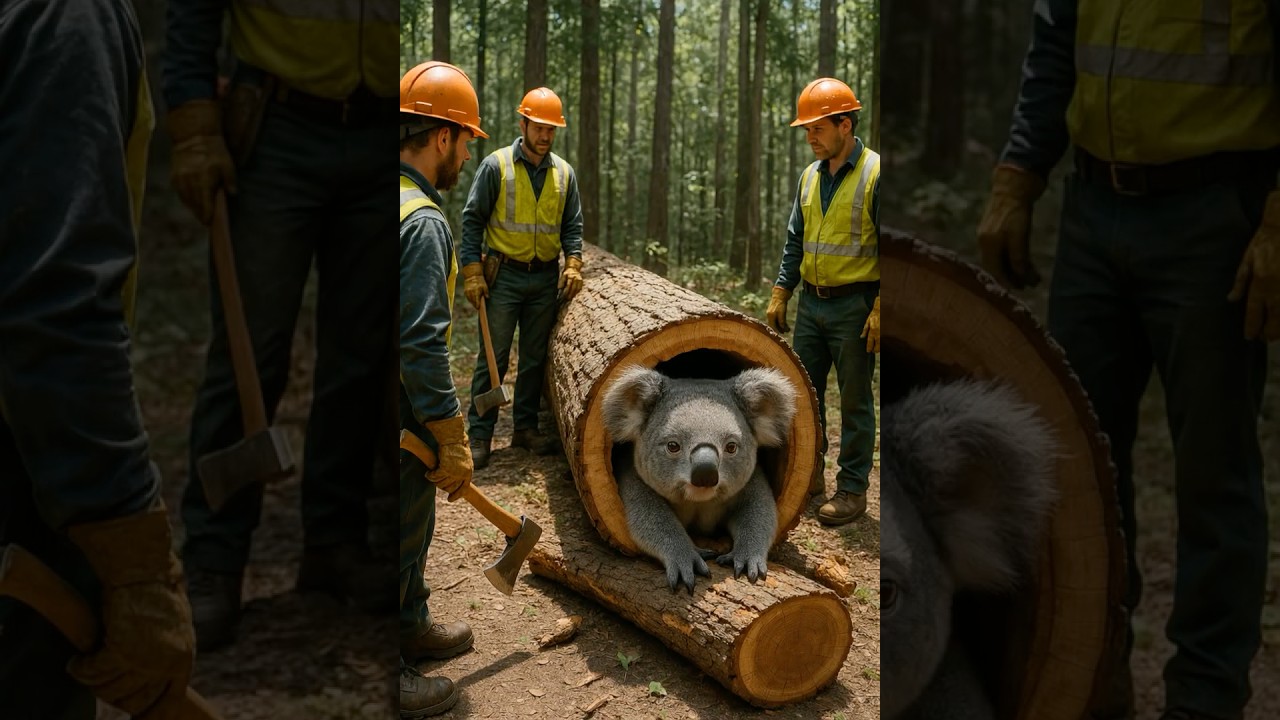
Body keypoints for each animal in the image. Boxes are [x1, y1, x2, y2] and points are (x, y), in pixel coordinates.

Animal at [600, 364, 798, 593]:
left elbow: (759, 513)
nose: (705, 473)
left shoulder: (752, 481)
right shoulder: (634, 480)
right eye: (673, 446)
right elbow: (650, 520)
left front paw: (747, 559)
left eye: (731, 447)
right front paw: (687, 558)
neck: (699, 501)